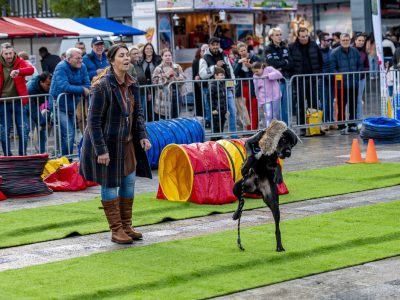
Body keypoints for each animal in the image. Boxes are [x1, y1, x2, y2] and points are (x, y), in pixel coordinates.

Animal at [233, 119, 298, 251]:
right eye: (284, 140)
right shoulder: (251, 141)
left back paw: (279, 245)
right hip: (238, 186)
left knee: (277, 227)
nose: (288, 152)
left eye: (292, 144)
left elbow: (276, 165)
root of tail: (257, 189)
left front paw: (279, 176)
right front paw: (245, 166)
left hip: (273, 202)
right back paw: (237, 213)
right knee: (241, 200)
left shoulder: (271, 162)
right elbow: (251, 153)